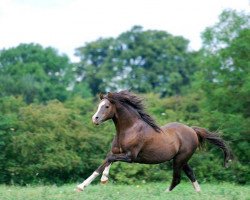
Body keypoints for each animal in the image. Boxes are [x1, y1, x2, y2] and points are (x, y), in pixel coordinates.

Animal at [76, 90, 230, 192]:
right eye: (99, 105)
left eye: (106, 106)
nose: (95, 119)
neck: (129, 129)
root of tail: (192, 130)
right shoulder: (117, 152)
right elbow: (104, 162)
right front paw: (81, 186)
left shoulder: (130, 157)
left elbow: (109, 159)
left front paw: (103, 179)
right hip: (182, 160)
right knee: (190, 174)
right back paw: (198, 193)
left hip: (179, 159)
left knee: (177, 178)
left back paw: (165, 193)